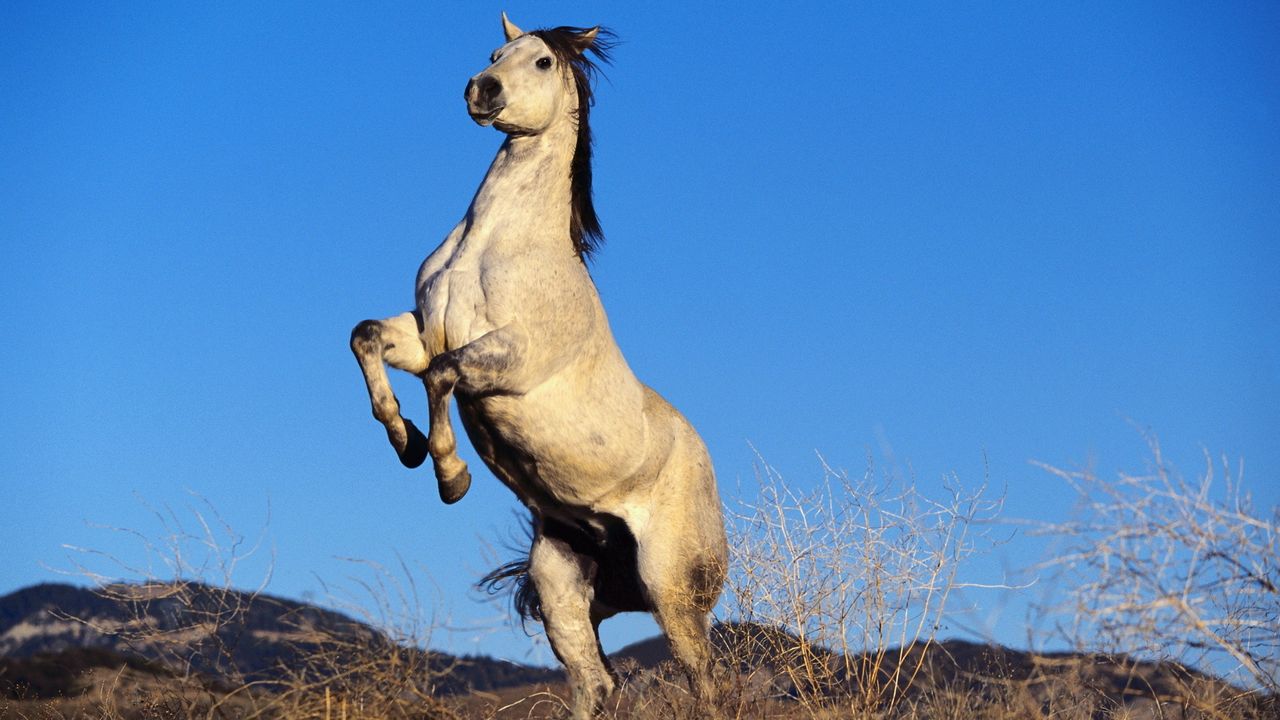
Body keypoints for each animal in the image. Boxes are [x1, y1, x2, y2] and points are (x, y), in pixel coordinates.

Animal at [348, 14, 732, 712]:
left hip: (673, 593)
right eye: (495, 51)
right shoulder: (422, 332)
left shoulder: (511, 359)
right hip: (561, 583)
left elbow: (445, 374)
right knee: (595, 682)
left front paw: (449, 475)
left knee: (707, 686)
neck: (494, 243)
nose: (482, 90)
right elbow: (367, 338)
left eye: (543, 62)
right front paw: (405, 441)